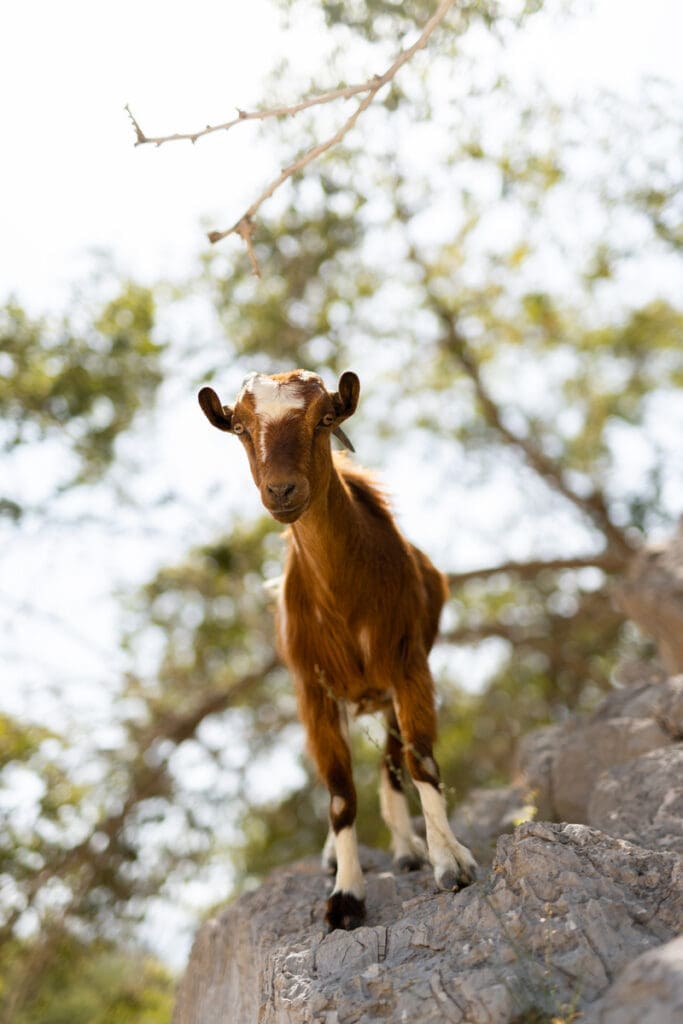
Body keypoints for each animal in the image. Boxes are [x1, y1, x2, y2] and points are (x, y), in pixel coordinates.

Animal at [199, 369, 477, 930]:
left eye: (324, 419)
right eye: (239, 428)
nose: (282, 490)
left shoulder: (409, 667)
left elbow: (421, 764)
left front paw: (451, 862)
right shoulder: (314, 691)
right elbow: (340, 794)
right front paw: (346, 897)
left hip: (387, 693)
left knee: (391, 767)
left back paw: (409, 848)